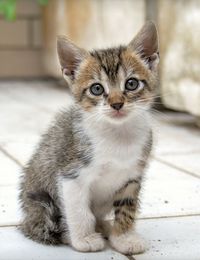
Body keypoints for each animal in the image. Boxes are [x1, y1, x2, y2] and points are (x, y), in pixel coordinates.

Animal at [19, 21, 159, 255]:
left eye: (131, 84)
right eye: (96, 88)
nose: (117, 104)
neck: (116, 135)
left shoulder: (132, 176)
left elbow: (126, 207)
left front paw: (124, 238)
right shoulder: (71, 175)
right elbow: (78, 210)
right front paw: (83, 239)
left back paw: (104, 226)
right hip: (41, 206)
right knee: (48, 224)